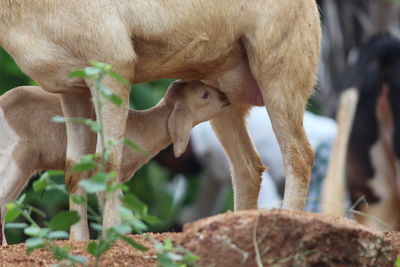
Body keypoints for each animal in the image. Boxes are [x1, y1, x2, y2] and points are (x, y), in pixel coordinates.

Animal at [0, 81, 230, 245]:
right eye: (205, 95)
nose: (226, 98)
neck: (142, 126)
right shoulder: (106, 173)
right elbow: (115, 205)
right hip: (15, 161)